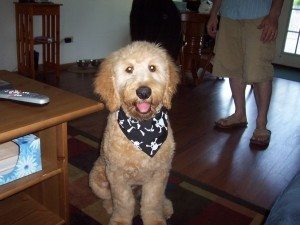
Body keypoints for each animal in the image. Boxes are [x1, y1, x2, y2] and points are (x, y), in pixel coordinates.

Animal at [88, 40, 178, 225]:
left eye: (152, 68)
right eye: (129, 69)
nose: (143, 92)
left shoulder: (159, 173)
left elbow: (152, 201)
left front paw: (155, 220)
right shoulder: (116, 175)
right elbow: (124, 202)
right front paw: (120, 220)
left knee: (158, 197)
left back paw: (165, 206)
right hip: (97, 179)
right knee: (108, 198)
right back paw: (110, 208)